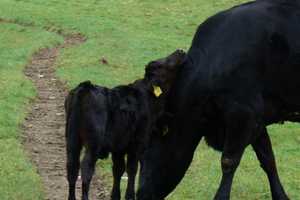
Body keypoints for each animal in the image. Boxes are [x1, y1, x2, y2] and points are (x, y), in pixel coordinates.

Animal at [64, 49, 186, 200]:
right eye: (162, 64)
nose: (180, 51)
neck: (149, 98)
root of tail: (85, 87)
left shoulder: (119, 146)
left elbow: (118, 169)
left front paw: (115, 195)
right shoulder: (137, 142)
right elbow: (132, 168)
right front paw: (129, 195)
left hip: (72, 138)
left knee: (72, 167)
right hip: (93, 142)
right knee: (86, 168)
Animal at [138, 0, 300, 199]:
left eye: (145, 152)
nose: (140, 193)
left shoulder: (242, 112)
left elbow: (229, 161)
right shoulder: (257, 117)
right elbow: (268, 159)